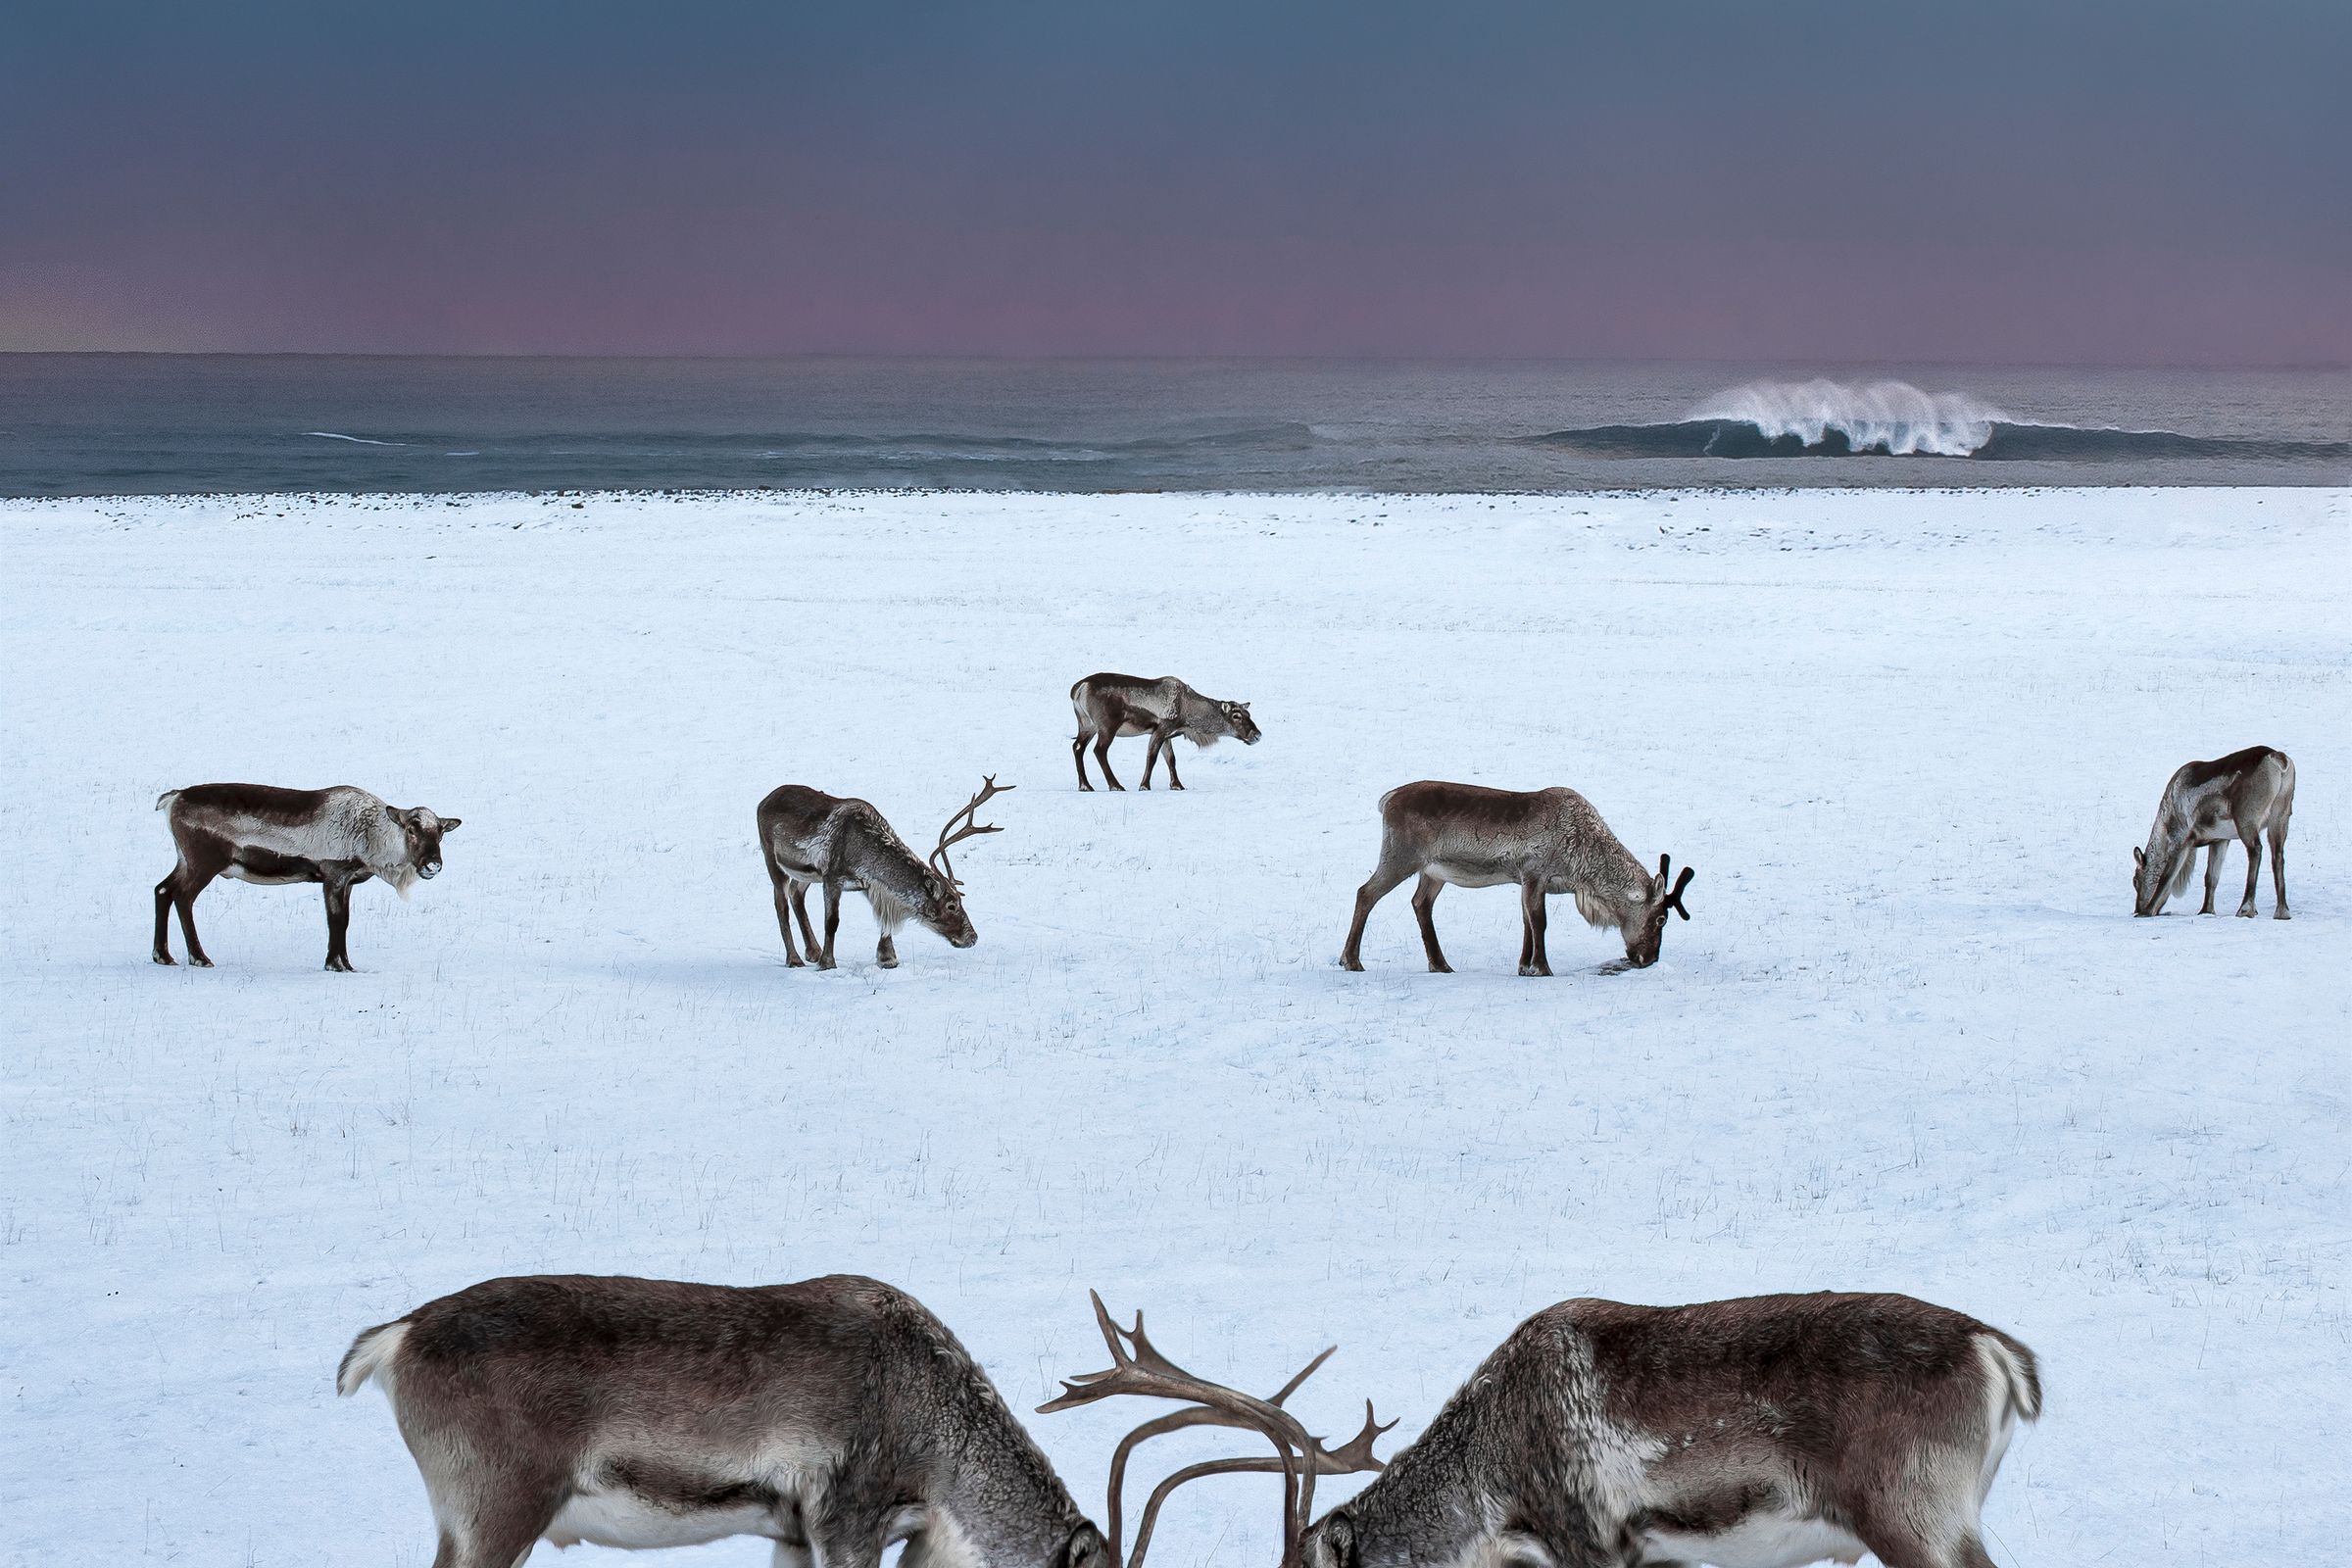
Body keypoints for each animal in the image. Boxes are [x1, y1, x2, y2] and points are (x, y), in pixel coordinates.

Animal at [150, 783, 460, 972]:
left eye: (440, 832)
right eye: (411, 828)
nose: (433, 864)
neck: (370, 838)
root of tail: (173, 798)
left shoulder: (347, 882)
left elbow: (344, 922)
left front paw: (346, 964)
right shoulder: (333, 875)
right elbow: (337, 921)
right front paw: (336, 965)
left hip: (185, 860)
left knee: (163, 890)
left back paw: (163, 956)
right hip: (203, 862)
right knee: (182, 897)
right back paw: (199, 958)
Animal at [757, 776, 1012, 969]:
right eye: (951, 905)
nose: (973, 938)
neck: (865, 853)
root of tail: (762, 801)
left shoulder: (870, 885)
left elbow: (884, 919)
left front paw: (888, 958)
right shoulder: (832, 877)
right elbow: (832, 921)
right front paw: (828, 962)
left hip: (806, 873)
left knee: (795, 893)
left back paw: (812, 951)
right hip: (771, 857)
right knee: (781, 903)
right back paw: (794, 959)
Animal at [1070, 673, 1261, 791]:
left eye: (1248, 714)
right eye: (1236, 715)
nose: (1257, 735)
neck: (1188, 714)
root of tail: (1079, 688)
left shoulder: (1167, 734)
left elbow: (1171, 759)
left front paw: (1177, 785)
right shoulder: (1161, 729)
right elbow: (1152, 757)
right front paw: (1144, 785)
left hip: (1086, 724)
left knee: (1077, 747)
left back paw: (1085, 786)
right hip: (1107, 726)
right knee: (1099, 750)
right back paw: (1116, 785)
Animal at [1340, 781, 1693, 977]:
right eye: (1661, 919)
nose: (1649, 958)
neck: (1583, 870)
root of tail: (1387, 799)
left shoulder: (1527, 880)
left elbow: (1526, 922)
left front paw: (1524, 967)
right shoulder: (1535, 871)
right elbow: (1539, 922)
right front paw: (1543, 968)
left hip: (1432, 872)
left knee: (1420, 903)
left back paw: (1440, 964)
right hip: (1401, 856)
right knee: (1365, 892)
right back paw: (1351, 960)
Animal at [2132, 745, 2294, 919]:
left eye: (2135, 880)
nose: (2137, 909)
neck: (2164, 822)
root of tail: (2278, 759)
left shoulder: (2181, 837)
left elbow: (2166, 878)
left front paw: (2148, 912)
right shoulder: (2219, 839)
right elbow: (2211, 877)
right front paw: (2206, 910)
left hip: (2246, 819)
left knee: (2256, 850)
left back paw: (2246, 909)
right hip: (2280, 815)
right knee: (2278, 855)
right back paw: (2282, 911)